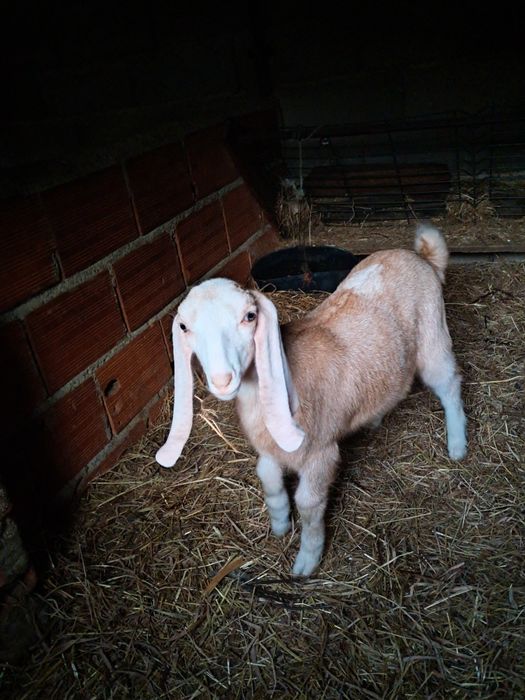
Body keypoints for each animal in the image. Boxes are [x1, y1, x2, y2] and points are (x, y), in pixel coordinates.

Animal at [156, 225, 467, 576]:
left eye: (249, 316)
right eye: (184, 327)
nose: (223, 380)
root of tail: (419, 256)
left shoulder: (320, 452)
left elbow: (308, 503)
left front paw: (307, 558)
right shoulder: (270, 449)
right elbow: (268, 479)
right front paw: (280, 523)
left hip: (433, 334)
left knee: (449, 384)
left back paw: (457, 444)